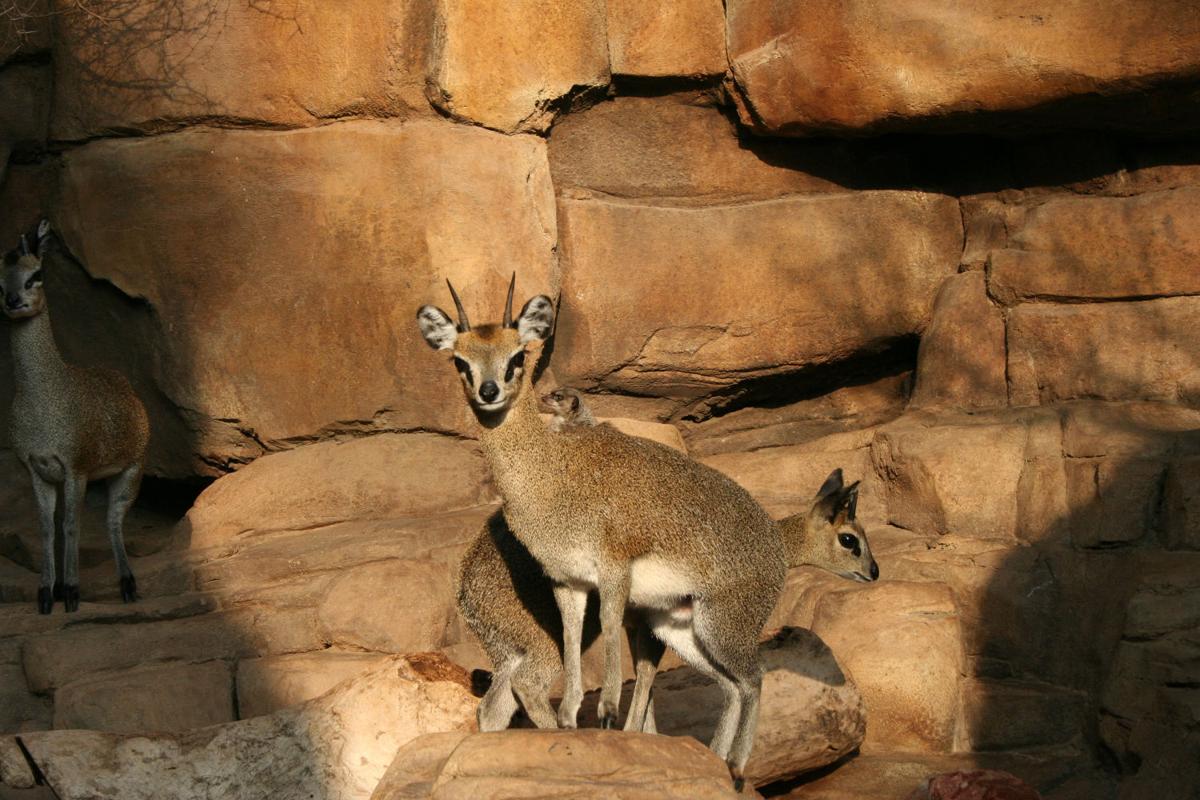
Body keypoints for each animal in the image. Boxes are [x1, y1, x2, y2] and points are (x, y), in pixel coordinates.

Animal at [1, 219, 150, 614]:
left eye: (36, 274)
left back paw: (128, 585)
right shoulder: (36, 469)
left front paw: (70, 592)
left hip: (131, 470)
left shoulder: (75, 467)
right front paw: (45, 594)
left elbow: (71, 524)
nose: (12, 301)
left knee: (113, 520)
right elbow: (46, 528)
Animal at [422, 278, 787, 786]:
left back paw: (734, 766)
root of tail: (779, 544)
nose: (489, 390)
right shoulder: (569, 581)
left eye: (518, 356)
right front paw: (573, 717)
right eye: (460, 360)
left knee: (754, 677)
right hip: (683, 628)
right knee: (734, 685)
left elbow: (611, 628)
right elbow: (575, 637)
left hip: (720, 624)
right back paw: (717, 761)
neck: (552, 473)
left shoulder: (614, 570)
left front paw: (608, 710)